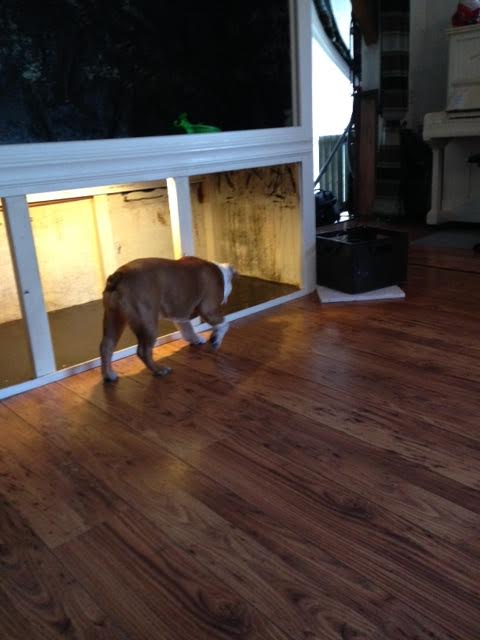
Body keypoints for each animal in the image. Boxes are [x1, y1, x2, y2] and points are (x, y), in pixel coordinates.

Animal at [100, 256, 235, 382]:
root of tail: (119, 275)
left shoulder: (181, 316)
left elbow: (188, 331)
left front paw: (196, 339)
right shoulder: (209, 310)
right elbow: (225, 324)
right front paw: (216, 339)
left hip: (114, 319)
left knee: (106, 346)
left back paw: (109, 375)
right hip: (148, 324)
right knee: (143, 351)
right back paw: (159, 370)